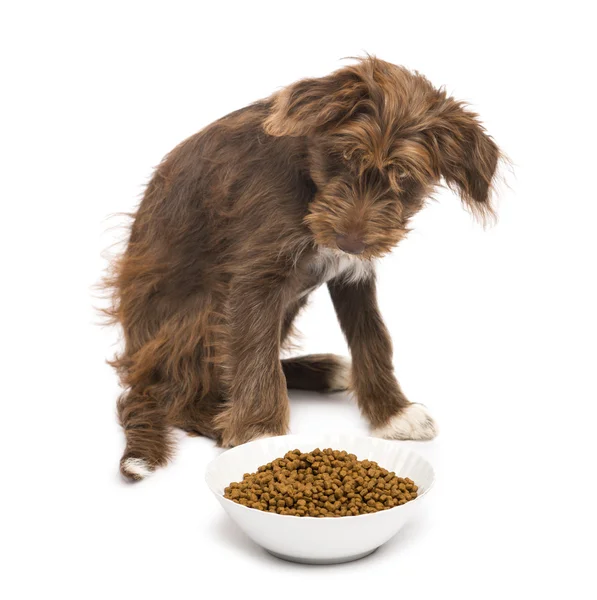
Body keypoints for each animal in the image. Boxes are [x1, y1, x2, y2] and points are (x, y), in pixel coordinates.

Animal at [105, 54, 500, 480]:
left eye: (403, 176)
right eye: (343, 157)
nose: (349, 241)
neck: (309, 180)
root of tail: (136, 366)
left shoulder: (354, 274)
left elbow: (372, 337)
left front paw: (393, 413)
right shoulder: (254, 279)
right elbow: (254, 356)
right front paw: (260, 435)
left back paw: (325, 370)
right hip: (200, 314)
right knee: (179, 394)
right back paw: (222, 420)